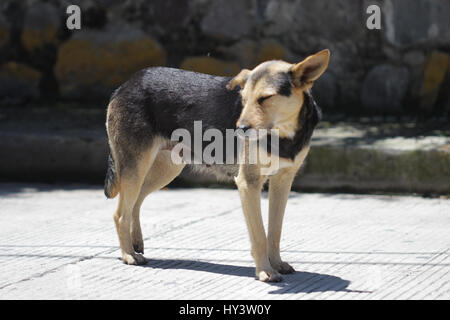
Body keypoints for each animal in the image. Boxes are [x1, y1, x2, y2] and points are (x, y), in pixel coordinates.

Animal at [105, 48, 330, 282]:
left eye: (265, 98)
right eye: (244, 99)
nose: (240, 129)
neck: (283, 133)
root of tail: (127, 83)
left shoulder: (282, 182)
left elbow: (275, 232)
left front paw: (276, 263)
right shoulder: (248, 184)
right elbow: (259, 235)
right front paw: (265, 270)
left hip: (165, 169)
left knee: (135, 202)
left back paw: (135, 243)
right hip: (137, 167)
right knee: (120, 213)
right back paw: (128, 254)